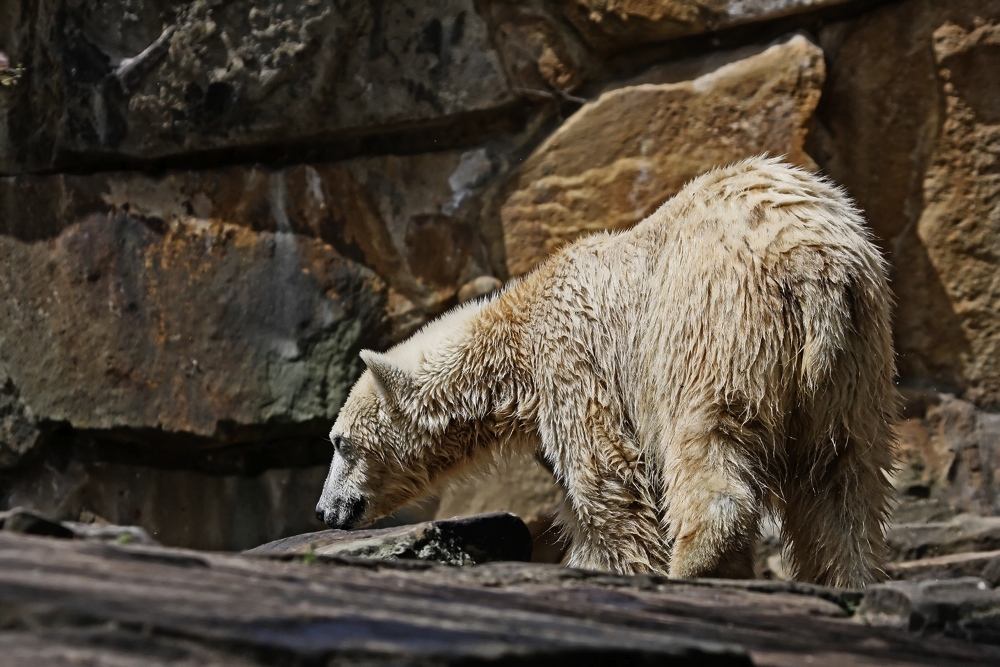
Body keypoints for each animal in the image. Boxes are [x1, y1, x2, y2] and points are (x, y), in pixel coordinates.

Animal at [316, 155, 896, 584]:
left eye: (340, 443)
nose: (326, 510)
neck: (518, 328)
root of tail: (810, 263)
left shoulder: (573, 362)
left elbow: (607, 485)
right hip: (856, 355)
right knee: (842, 480)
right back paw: (849, 579)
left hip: (713, 325)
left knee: (708, 441)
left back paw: (693, 566)